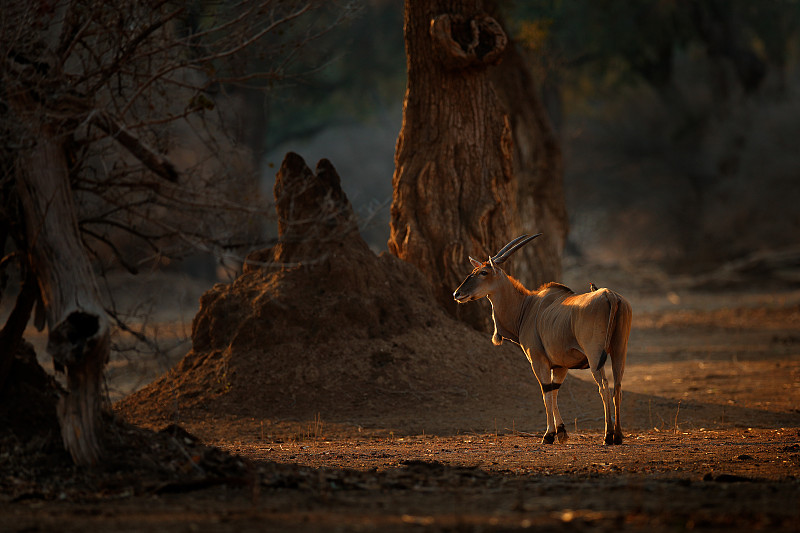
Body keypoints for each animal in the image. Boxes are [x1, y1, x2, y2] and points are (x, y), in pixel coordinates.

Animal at [456, 233, 632, 444]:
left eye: (483, 272)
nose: (457, 293)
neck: (527, 306)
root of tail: (610, 295)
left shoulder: (538, 360)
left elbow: (546, 393)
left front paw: (549, 435)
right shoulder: (560, 366)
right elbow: (554, 392)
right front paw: (562, 433)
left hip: (595, 355)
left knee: (604, 387)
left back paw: (607, 435)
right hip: (619, 351)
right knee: (618, 387)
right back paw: (619, 435)